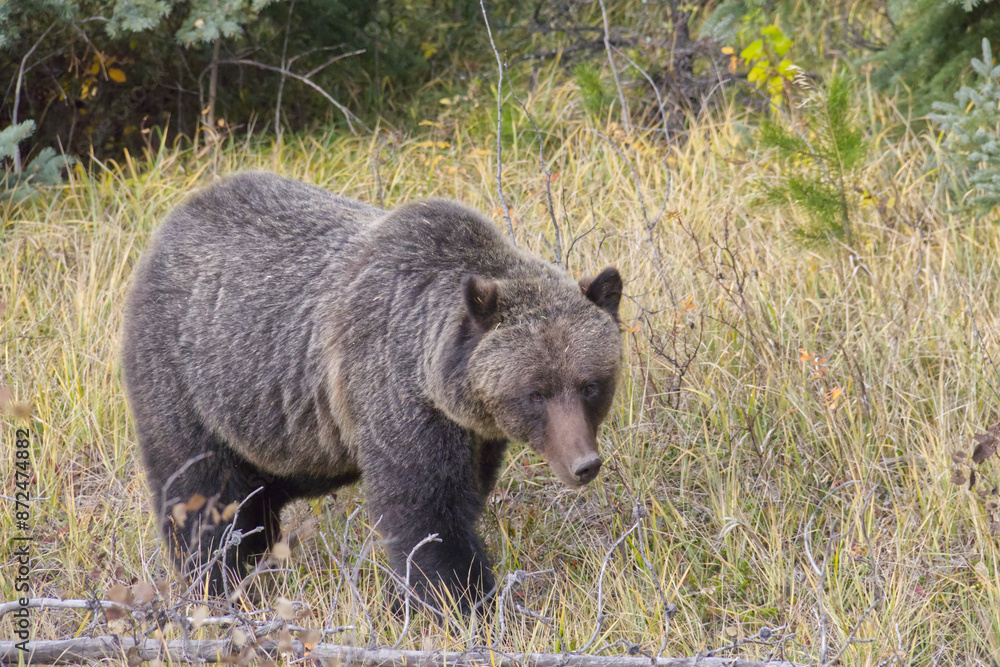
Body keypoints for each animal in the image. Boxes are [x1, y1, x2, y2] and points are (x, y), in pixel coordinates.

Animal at [121, 171, 623, 611]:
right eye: (535, 392)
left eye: (590, 385)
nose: (584, 464)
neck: (439, 383)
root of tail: (172, 223)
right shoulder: (393, 393)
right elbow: (425, 515)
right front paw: (459, 600)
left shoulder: (473, 436)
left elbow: (464, 496)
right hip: (187, 381)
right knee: (202, 497)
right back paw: (220, 582)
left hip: (275, 427)